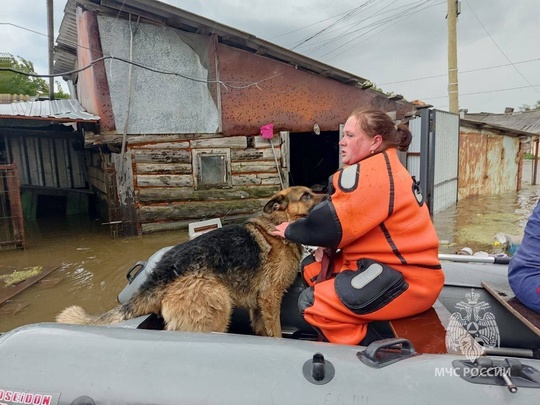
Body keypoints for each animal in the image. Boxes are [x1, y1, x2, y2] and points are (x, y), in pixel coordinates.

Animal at [56, 188, 322, 336]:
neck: (278, 224)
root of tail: (160, 275)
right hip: (218, 305)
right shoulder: (270, 298)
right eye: (306, 195)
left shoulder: (258, 305)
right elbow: (275, 332)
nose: (328, 195)